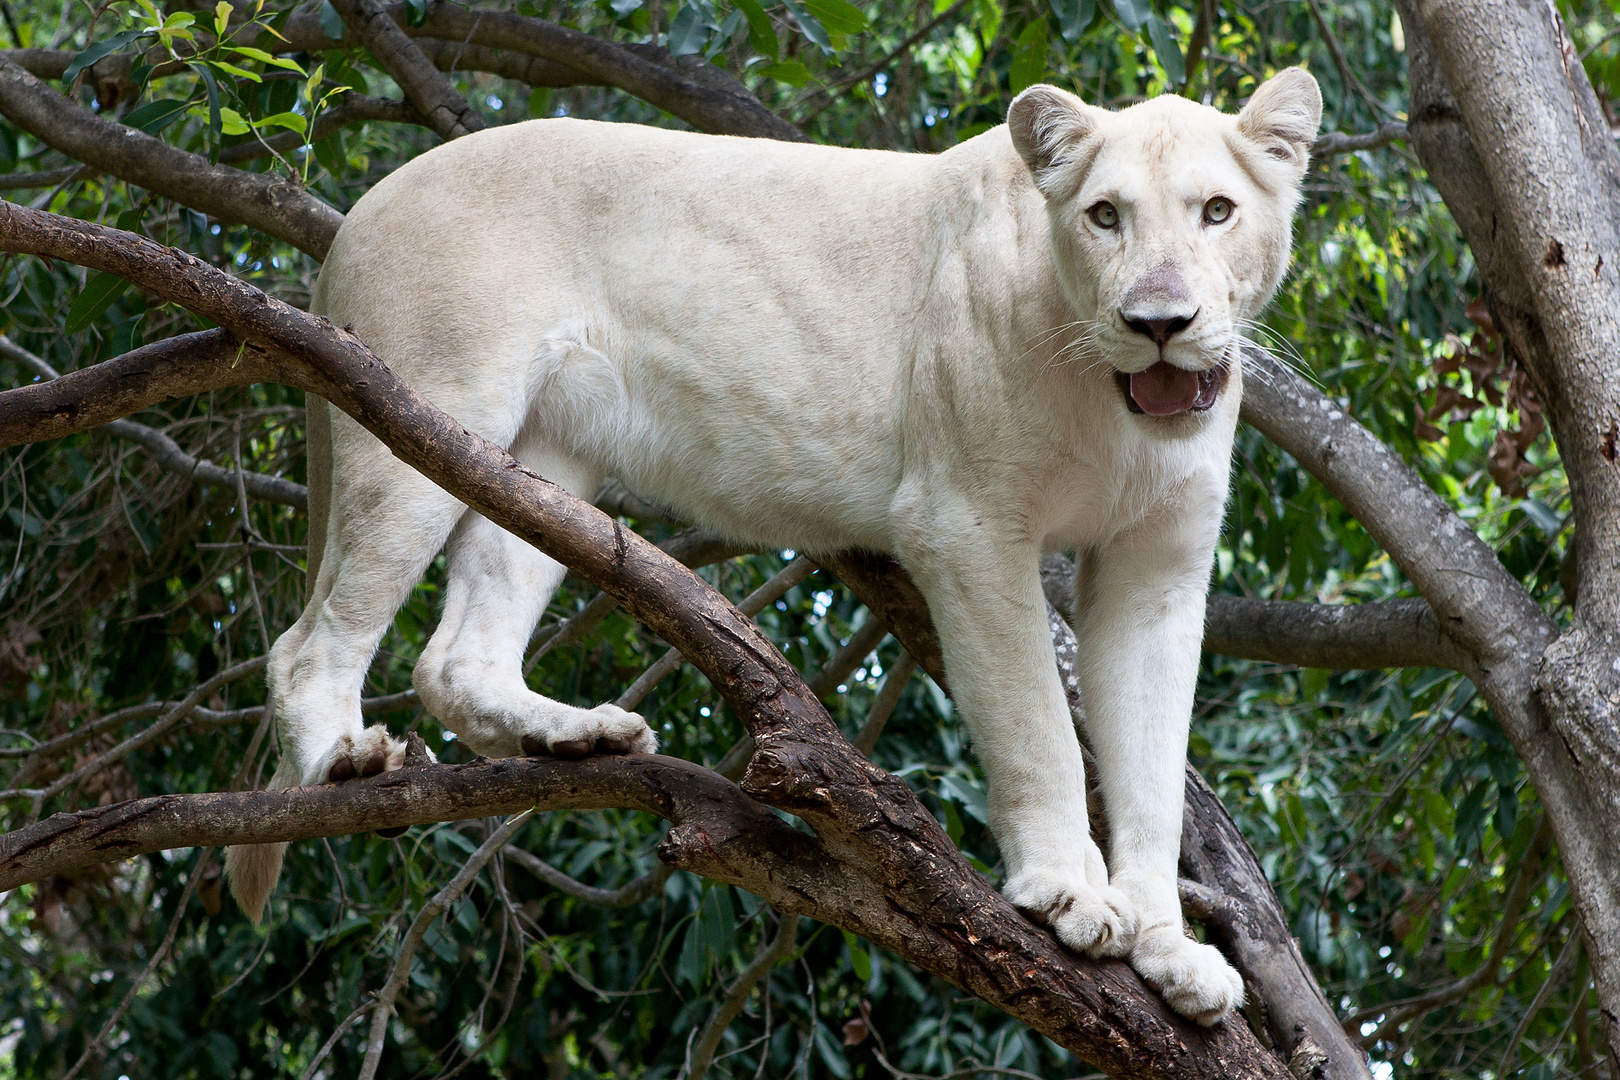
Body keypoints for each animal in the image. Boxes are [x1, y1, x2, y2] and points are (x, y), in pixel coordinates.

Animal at [228, 69, 1315, 1029]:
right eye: (1105, 216)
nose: (1161, 322)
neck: (1114, 403)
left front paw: (1169, 951)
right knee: (310, 642)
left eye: (1217, 211)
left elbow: (1153, 766)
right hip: (413, 414)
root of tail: (363, 207)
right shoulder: (965, 524)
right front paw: (1069, 897)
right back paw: (342, 761)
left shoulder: (1155, 569)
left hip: (540, 461)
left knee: (455, 660)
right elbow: (1038, 726)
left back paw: (575, 739)